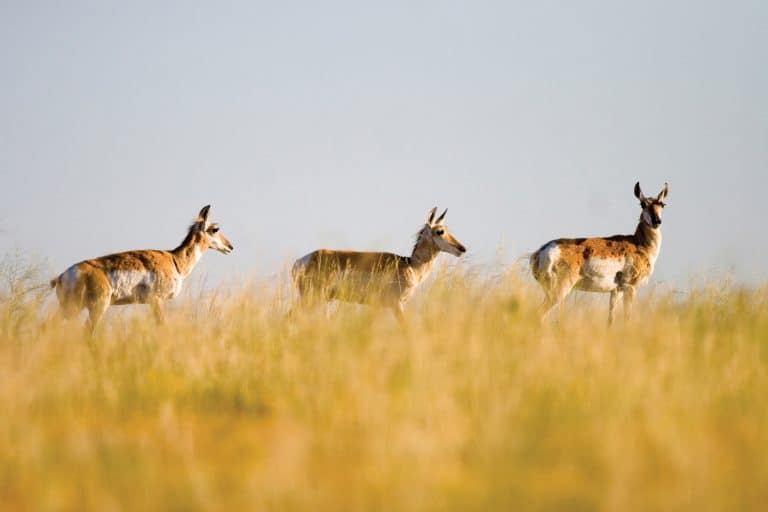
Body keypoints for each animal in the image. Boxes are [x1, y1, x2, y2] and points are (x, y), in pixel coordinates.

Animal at [49, 204, 232, 332]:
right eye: (215, 229)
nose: (230, 246)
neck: (174, 260)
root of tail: (62, 276)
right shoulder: (156, 301)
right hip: (91, 308)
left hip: (72, 308)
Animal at [292, 207, 464, 320]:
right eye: (440, 231)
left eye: (447, 228)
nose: (462, 248)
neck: (410, 265)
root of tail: (302, 261)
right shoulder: (396, 305)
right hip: (311, 299)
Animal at [532, 181, 668, 324]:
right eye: (642, 204)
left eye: (662, 204)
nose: (656, 221)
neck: (638, 243)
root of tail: (541, 251)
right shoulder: (631, 287)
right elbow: (627, 318)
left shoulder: (616, 291)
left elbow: (610, 320)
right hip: (559, 291)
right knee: (539, 314)